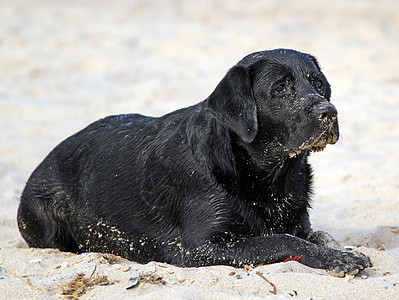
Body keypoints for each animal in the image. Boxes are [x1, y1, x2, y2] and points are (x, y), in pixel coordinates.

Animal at [17, 48, 370, 276]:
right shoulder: (198, 248)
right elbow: (281, 239)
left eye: (318, 83)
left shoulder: (299, 223)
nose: (329, 112)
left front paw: (342, 252)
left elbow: (317, 235)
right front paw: (337, 259)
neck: (266, 176)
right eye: (281, 88)